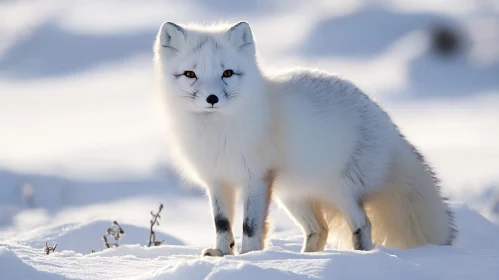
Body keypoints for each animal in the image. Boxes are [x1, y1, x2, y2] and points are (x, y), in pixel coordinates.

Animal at [155, 20, 458, 256]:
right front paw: (222, 254)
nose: (212, 98)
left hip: (341, 190)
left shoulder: (257, 177)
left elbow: (250, 226)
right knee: (320, 230)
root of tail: (387, 123)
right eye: (190, 74)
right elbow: (222, 224)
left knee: (362, 223)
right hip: (294, 197)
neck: (217, 132)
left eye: (227, 73)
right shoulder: (217, 180)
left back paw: (358, 256)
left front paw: (250, 256)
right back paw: (307, 258)